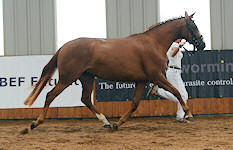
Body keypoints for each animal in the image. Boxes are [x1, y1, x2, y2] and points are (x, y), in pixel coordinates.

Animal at [22, 11, 204, 132]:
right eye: (194, 26)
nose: (202, 44)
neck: (152, 43)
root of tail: (64, 47)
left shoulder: (142, 80)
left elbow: (134, 103)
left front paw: (118, 123)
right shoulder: (156, 76)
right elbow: (177, 92)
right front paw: (188, 113)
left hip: (87, 78)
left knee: (85, 99)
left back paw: (106, 122)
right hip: (67, 78)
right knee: (50, 95)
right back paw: (36, 122)